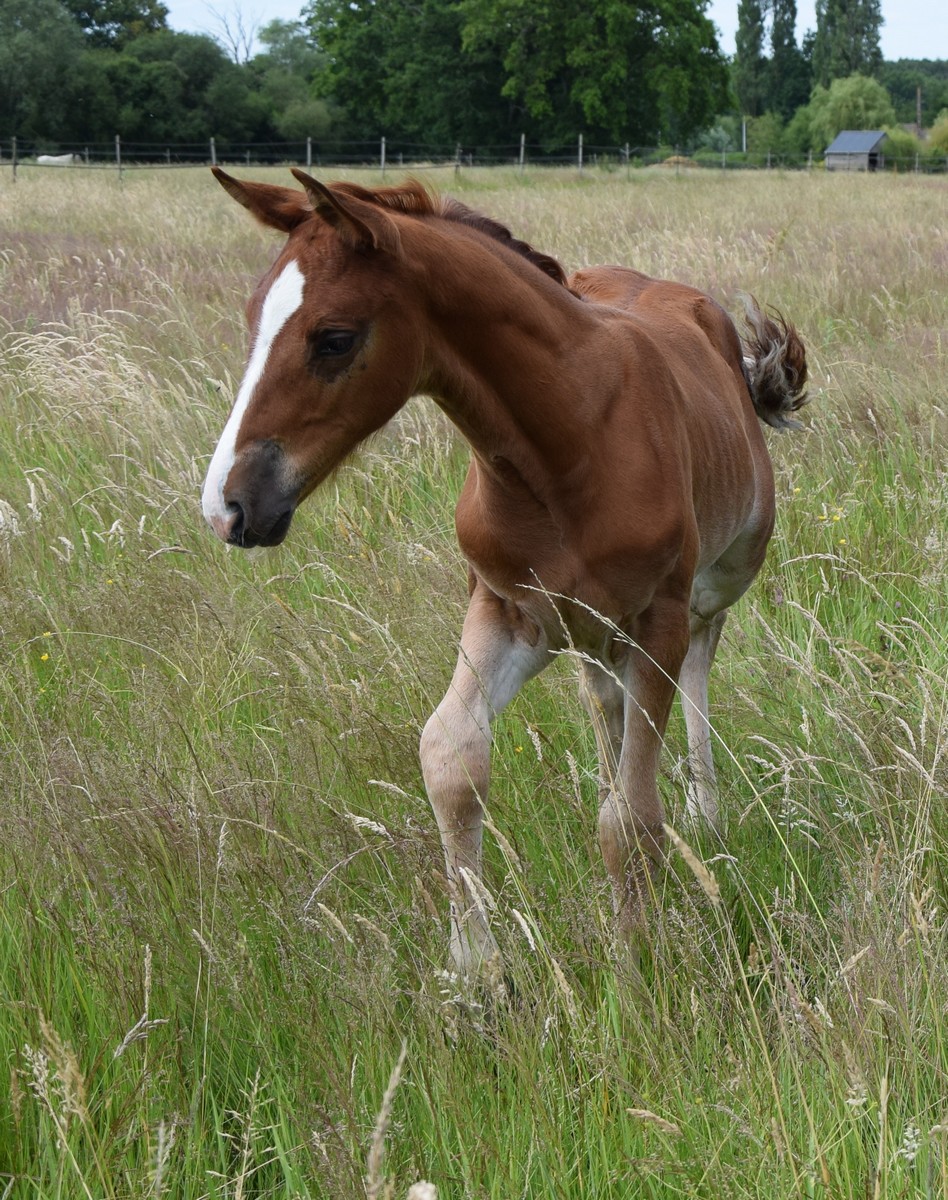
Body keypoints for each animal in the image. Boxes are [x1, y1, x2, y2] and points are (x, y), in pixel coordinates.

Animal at [202, 171, 811, 974]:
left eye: (334, 338)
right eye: (251, 319)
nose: (230, 506)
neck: (570, 443)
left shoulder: (659, 620)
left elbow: (630, 818)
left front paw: (633, 960)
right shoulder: (505, 608)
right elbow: (450, 757)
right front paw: (476, 968)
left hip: (716, 580)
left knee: (698, 667)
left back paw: (705, 815)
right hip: (589, 631)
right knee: (603, 700)